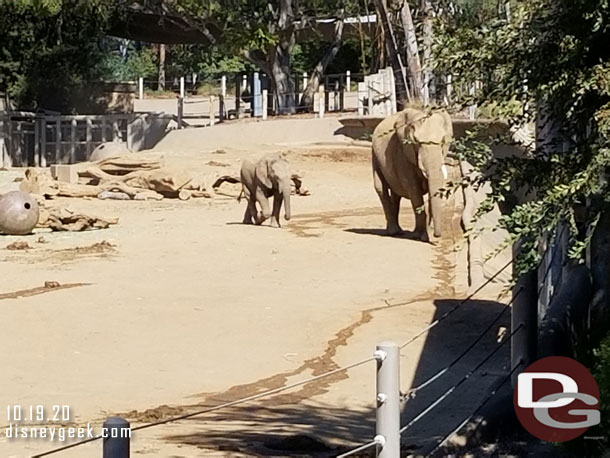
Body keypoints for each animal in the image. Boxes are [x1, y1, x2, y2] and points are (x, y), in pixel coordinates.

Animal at [370, 108, 452, 242]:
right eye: (417, 143)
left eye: (442, 142)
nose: (437, 235)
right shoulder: (403, 152)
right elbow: (414, 190)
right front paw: (421, 237)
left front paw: (427, 235)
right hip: (375, 155)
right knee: (381, 188)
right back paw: (394, 232)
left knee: (396, 194)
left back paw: (399, 231)